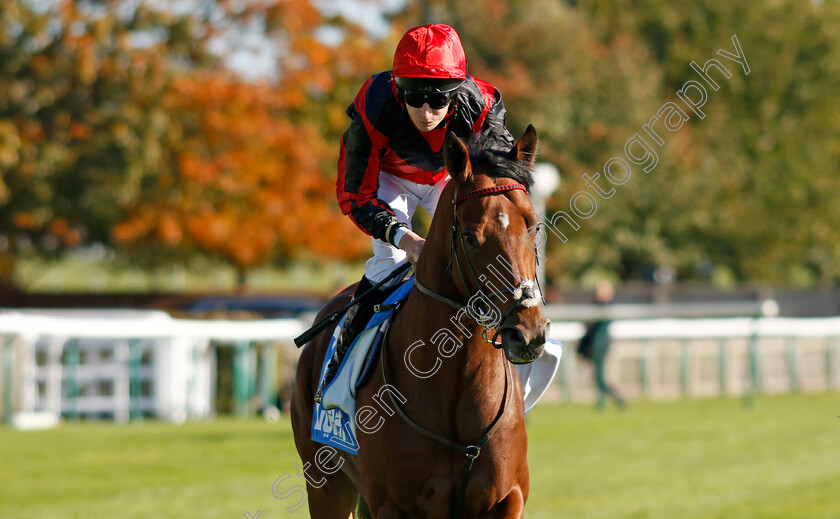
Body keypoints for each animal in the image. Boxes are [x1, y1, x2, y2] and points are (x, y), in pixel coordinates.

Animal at [292, 127, 548, 519]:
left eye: (533, 225)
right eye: (471, 236)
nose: (529, 333)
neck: (453, 383)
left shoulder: (508, 498)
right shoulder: (392, 505)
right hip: (325, 484)